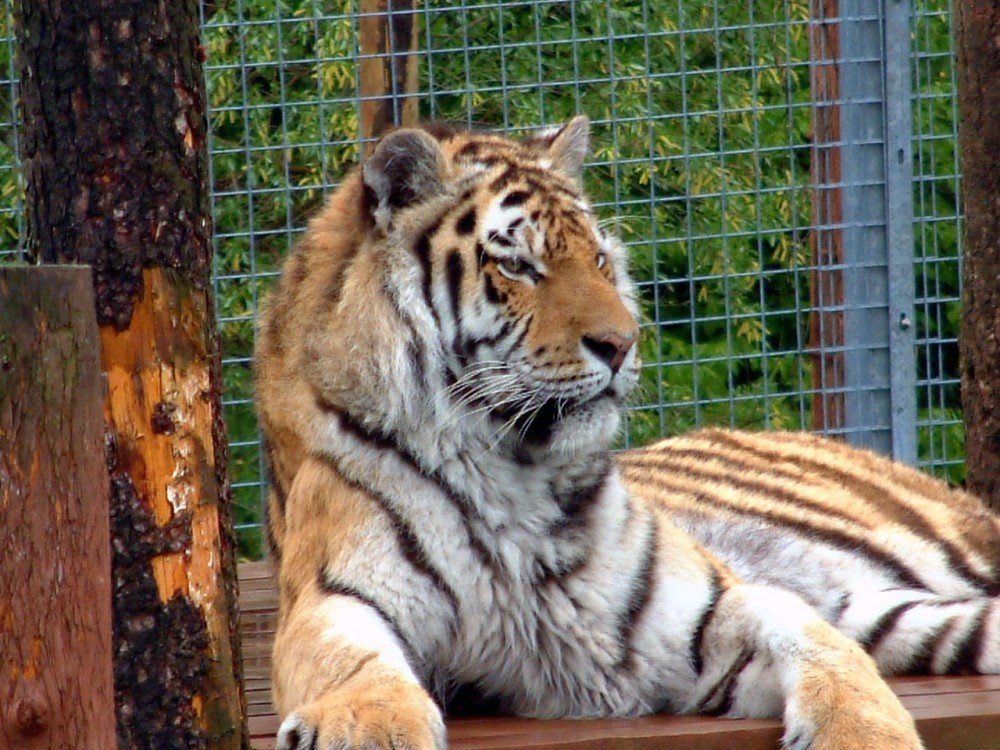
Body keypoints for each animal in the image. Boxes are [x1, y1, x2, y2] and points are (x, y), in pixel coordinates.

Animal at [254, 115, 1000, 750]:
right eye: (517, 265)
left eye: (600, 261)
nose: (621, 344)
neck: (512, 468)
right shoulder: (334, 599)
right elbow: (355, 669)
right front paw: (372, 727)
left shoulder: (705, 610)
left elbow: (822, 646)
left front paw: (864, 731)